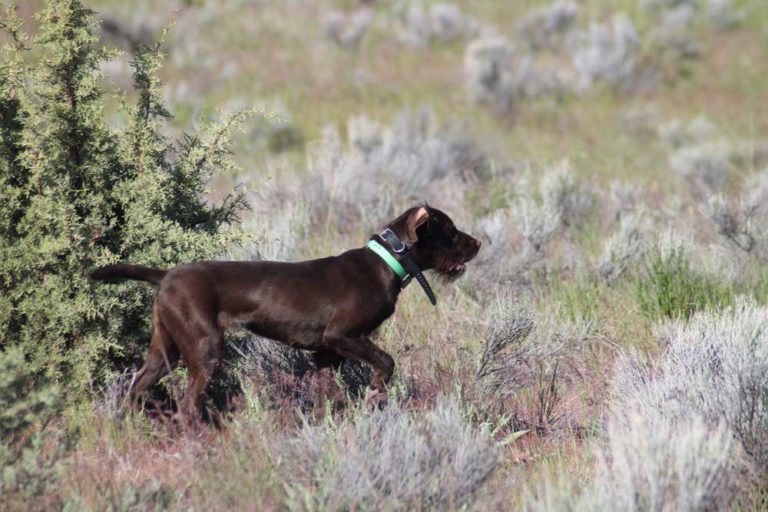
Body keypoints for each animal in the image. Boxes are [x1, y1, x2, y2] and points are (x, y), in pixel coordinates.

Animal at [91, 206, 480, 418]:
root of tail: (166, 275)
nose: (478, 243)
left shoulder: (326, 353)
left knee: (136, 388)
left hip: (165, 349)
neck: (386, 262)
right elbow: (387, 363)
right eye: (449, 229)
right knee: (188, 406)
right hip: (204, 348)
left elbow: (327, 397)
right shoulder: (343, 335)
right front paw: (373, 394)